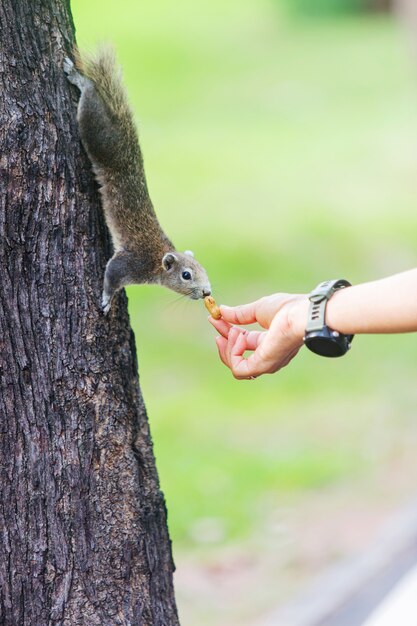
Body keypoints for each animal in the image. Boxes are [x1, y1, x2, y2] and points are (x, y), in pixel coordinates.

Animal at [62, 50, 211, 312]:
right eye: (186, 275)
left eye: (203, 268)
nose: (207, 292)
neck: (158, 259)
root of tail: (123, 129)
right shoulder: (131, 262)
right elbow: (112, 275)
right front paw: (106, 300)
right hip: (99, 135)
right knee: (91, 98)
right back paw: (78, 78)